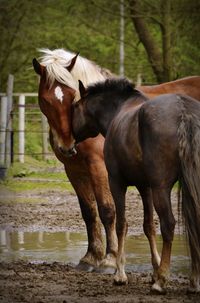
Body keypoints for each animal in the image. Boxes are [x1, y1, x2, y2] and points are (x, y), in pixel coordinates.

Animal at [32, 49, 118, 274]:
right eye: (45, 101)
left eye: (73, 98)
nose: (67, 144)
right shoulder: (74, 170)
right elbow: (89, 212)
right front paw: (91, 258)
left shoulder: (99, 168)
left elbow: (107, 210)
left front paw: (110, 260)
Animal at [71, 78, 200, 294]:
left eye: (74, 107)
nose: (69, 145)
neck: (119, 110)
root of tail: (183, 111)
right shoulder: (144, 187)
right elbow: (148, 226)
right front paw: (154, 270)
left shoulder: (116, 183)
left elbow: (121, 224)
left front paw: (120, 274)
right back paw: (193, 281)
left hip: (161, 187)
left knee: (168, 224)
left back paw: (161, 282)